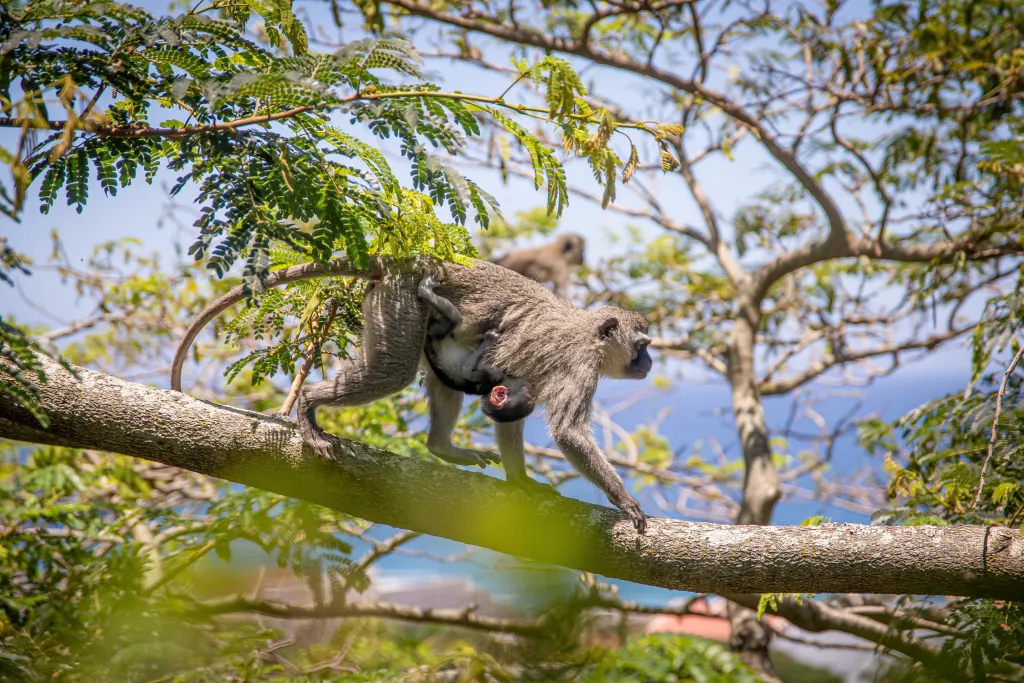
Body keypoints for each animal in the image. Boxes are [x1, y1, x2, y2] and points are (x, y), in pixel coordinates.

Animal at [417, 274, 535, 425]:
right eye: (527, 390)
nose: (530, 385)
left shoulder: (490, 375)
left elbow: (466, 371)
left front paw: (488, 340)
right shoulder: (494, 375)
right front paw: (487, 339)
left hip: (434, 333)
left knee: (454, 318)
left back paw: (425, 292)